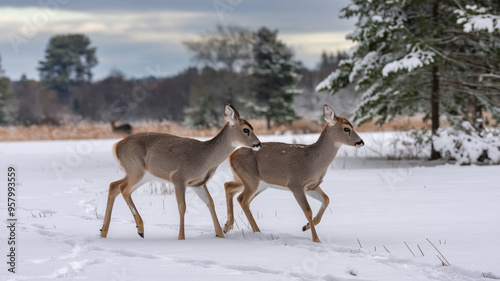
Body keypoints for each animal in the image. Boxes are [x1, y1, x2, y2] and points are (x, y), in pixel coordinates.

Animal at [98, 104, 262, 240]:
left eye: (253, 128)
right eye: (246, 130)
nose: (258, 144)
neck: (204, 158)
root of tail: (117, 146)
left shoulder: (198, 183)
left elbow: (210, 203)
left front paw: (220, 235)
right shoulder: (178, 177)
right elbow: (182, 207)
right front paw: (181, 238)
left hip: (141, 174)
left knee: (114, 185)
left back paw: (103, 232)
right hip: (136, 169)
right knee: (124, 189)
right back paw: (140, 229)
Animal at [225, 104, 366, 242]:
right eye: (346, 128)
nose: (361, 142)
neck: (313, 161)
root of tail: (231, 156)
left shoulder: (311, 186)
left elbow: (326, 199)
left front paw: (306, 226)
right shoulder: (295, 183)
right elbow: (308, 210)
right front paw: (316, 240)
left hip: (254, 182)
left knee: (230, 187)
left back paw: (228, 227)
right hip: (251, 179)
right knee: (242, 199)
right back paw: (256, 231)